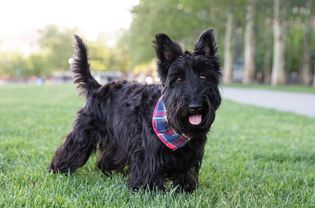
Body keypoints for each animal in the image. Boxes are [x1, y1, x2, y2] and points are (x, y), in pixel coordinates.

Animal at [50, 28, 222, 192]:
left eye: (203, 76)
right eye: (179, 78)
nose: (195, 106)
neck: (172, 124)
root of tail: (97, 88)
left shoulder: (190, 153)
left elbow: (184, 171)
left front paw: (183, 189)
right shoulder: (147, 150)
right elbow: (149, 169)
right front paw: (149, 189)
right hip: (85, 131)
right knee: (72, 147)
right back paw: (58, 169)